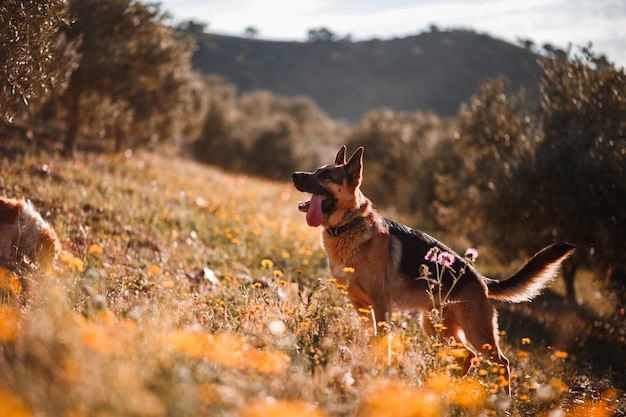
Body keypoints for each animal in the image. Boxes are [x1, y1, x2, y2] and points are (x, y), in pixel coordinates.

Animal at [290, 145, 572, 384]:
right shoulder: (360, 306)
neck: (349, 225)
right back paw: (453, 386)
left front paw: (380, 369)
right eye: (317, 170)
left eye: (326, 175)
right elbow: (368, 339)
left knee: (501, 361)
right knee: (469, 356)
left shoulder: (381, 305)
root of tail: (481, 279)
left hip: (476, 332)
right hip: (436, 327)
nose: (294, 174)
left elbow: (382, 342)